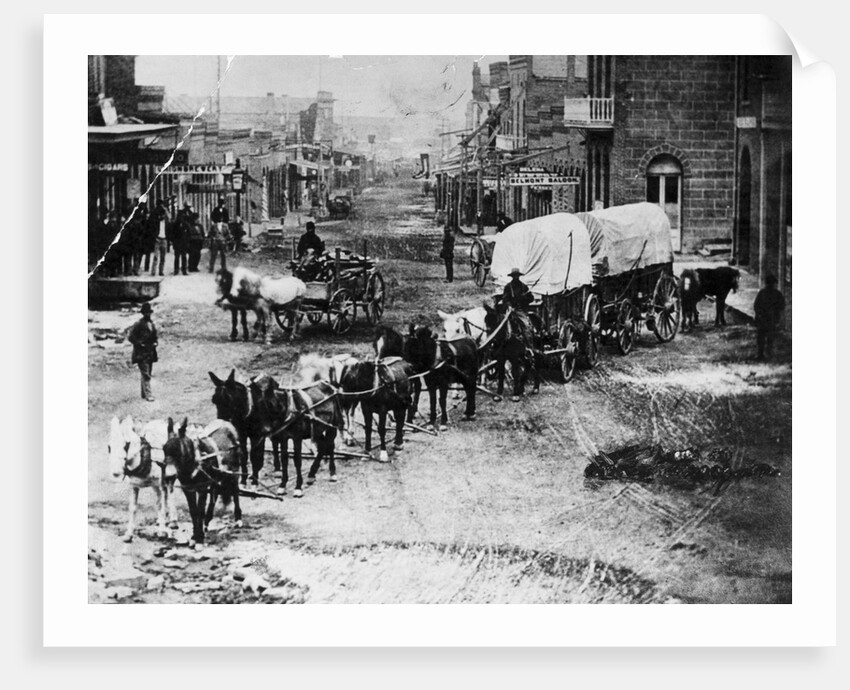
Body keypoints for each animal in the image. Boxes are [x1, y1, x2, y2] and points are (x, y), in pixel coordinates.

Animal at [161, 414, 242, 544]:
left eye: (179, 450)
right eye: (164, 449)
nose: (168, 476)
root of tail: (226, 422)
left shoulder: (202, 487)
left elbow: (200, 511)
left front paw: (199, 537)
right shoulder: (188, 489)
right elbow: (193, 511)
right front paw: (195, 535)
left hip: (234, 472)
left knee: (235, 491)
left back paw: (238, 519)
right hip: (215, 477)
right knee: (215, 494)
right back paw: (207, 522)